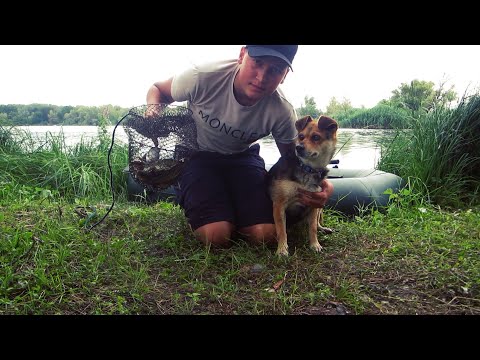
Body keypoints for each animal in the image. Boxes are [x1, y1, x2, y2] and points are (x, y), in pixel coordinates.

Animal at [268, 115, 340, 256]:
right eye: (301, 136)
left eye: (316, 137)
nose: (298, 147)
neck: (307, 168)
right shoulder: (279, 204)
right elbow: (281, 230)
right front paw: (282, 250)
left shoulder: (314, 203)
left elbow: (312, 228)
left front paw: (315, 245)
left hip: (320, 207)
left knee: (317, 223)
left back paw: (323, 228)